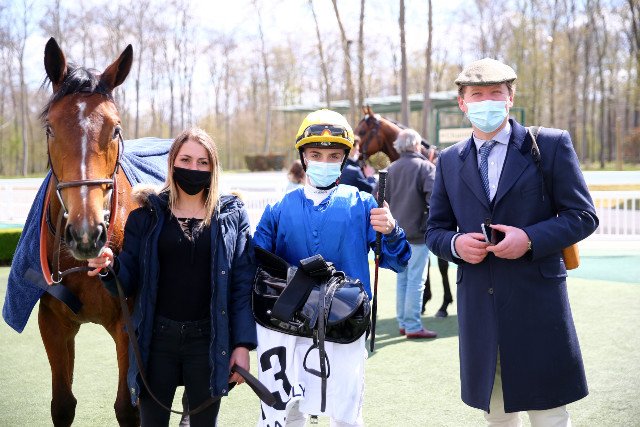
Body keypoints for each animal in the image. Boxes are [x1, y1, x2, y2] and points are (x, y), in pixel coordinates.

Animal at [37, 37, 139, 426]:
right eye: (50, 128)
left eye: (116, 128)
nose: (85, 234)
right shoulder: (53, 322)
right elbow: (62, 404)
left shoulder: (129, 325)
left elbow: (129, 407)